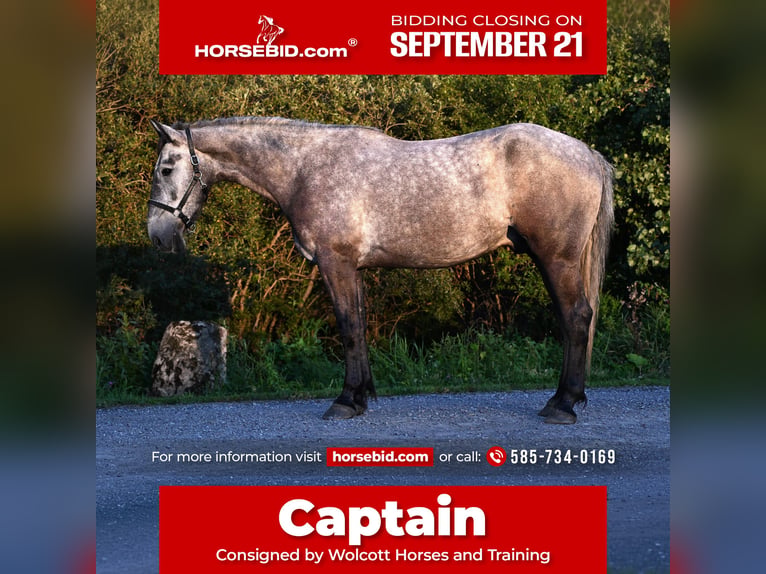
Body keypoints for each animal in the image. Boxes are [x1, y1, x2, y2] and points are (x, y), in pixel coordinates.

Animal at [147, 117, 613, 424]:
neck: (305, 169)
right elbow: (359, 324)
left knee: (576, 318)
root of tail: (588, 153)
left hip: (557, 259)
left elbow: (349, 327)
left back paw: (562, 405)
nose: (158, 235)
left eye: (166, 169)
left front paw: (344, 401)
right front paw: (361, 396)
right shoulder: (352, 267)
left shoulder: (335, 262)